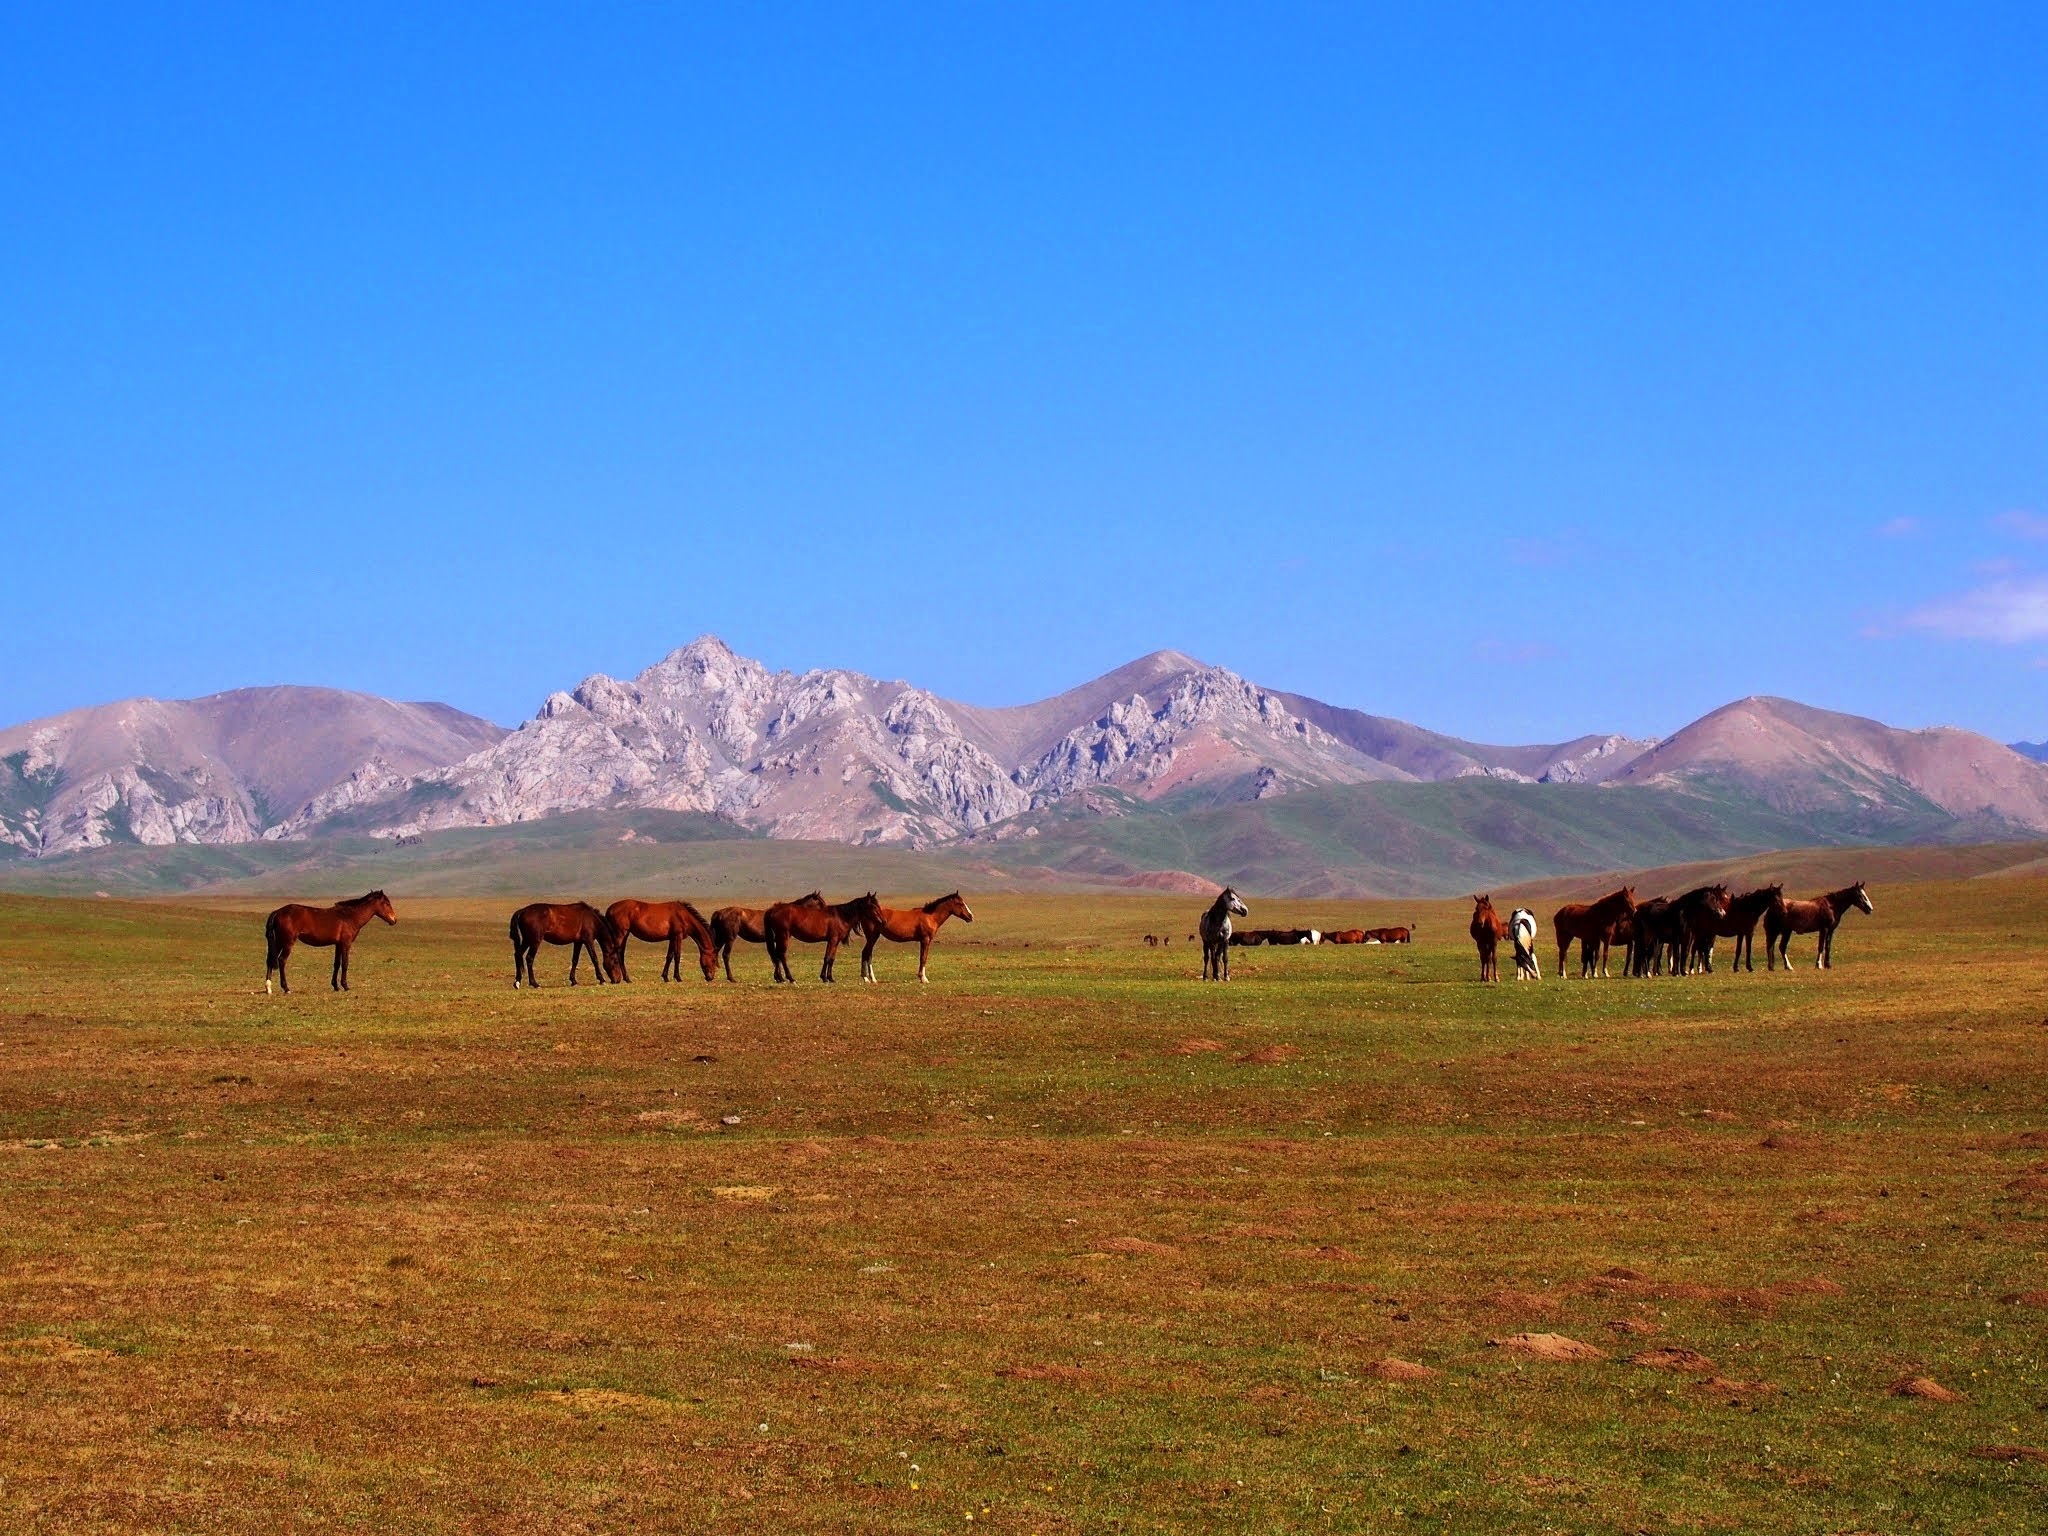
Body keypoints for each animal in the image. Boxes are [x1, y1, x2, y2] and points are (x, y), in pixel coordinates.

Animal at [262, 888, 393, 999]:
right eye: (386, 903)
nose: (394, 920)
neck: (349, 916)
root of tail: (278, 911)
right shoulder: (346, 943)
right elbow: (345, 963)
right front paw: (345, 986)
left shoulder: (338, 944)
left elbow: (337, 964)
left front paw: (335, 986)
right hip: (287, 942)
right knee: (281, 961)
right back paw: (286, 988)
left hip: (279, 941)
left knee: (270, 960)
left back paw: (268, 988)